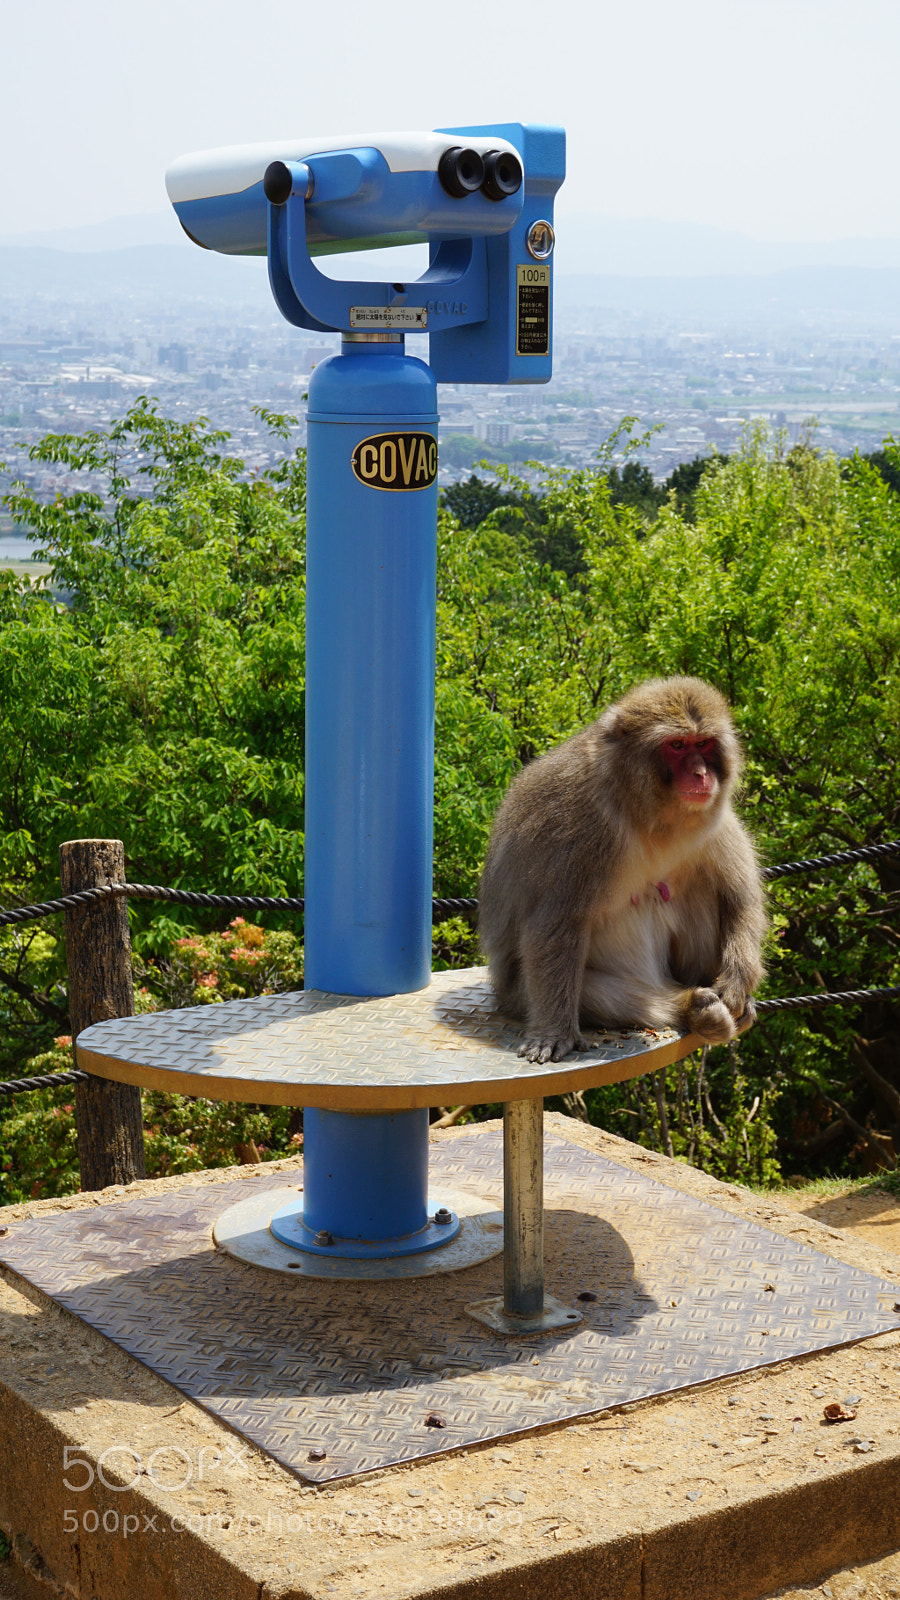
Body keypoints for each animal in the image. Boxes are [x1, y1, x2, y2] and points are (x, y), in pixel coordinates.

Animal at [478, 676, 766, 1064]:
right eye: (677, 745)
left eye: (704, 743)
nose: (701, 774)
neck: (644, 810)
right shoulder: (578, 826)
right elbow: (554, 924)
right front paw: (553, 1033)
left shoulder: (713, 818)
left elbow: (740, 897)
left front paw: (736, 983)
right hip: (520, 995)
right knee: (592, 991)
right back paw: (691, 1006)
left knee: (704, 889)